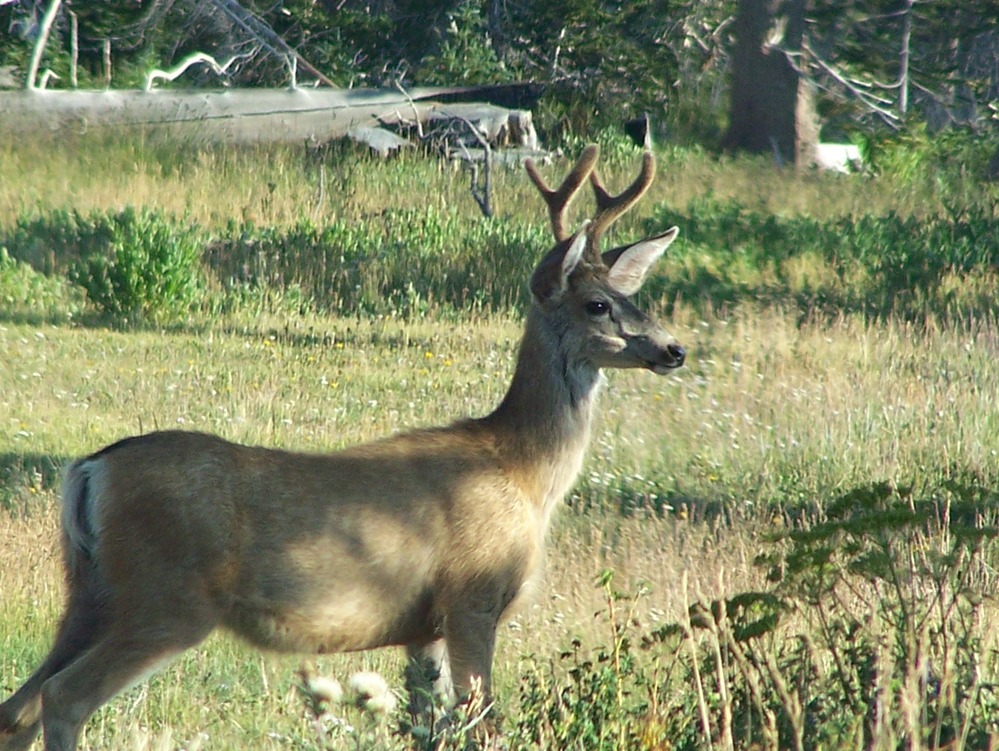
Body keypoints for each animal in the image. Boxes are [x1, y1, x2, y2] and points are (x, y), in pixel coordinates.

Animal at [0, 144, 684, 751]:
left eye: (637, 297)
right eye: (598, 304)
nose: (673, 349)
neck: (522, 470)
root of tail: (91, 469)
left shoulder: (422, 626)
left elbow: (428, 728)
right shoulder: (472, 597)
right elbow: (482, 725)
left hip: (88, 592)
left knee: (20, 706)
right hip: (165, 596)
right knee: (62, 697)